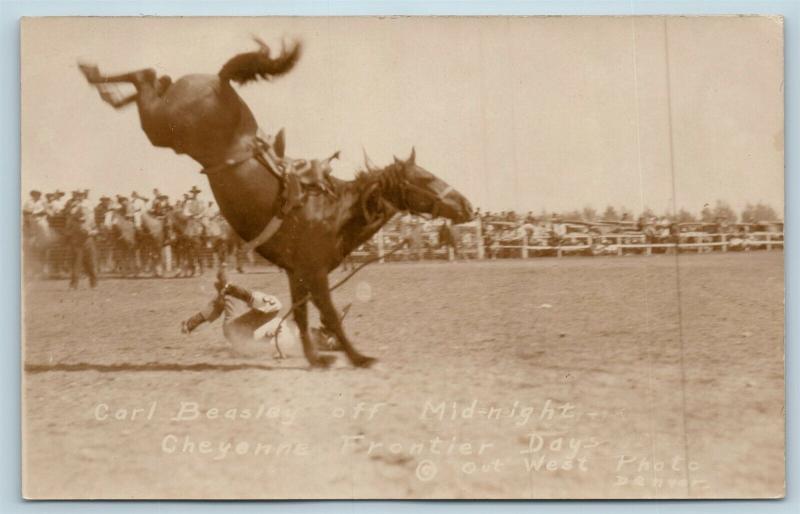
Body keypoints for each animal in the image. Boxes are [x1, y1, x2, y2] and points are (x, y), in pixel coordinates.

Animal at [78, 36, 472, 366]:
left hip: (164, 125)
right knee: (146, 78)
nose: (467, 205)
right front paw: (358, 357)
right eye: (426, 178)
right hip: (164, 126)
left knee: (152, 80)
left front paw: (315, 358)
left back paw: (108, 90)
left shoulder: (296, 273)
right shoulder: (314, 272)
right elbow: (328, 315)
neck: (333, 211)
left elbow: (300, 314)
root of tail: (220, 82)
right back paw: (96, 76)